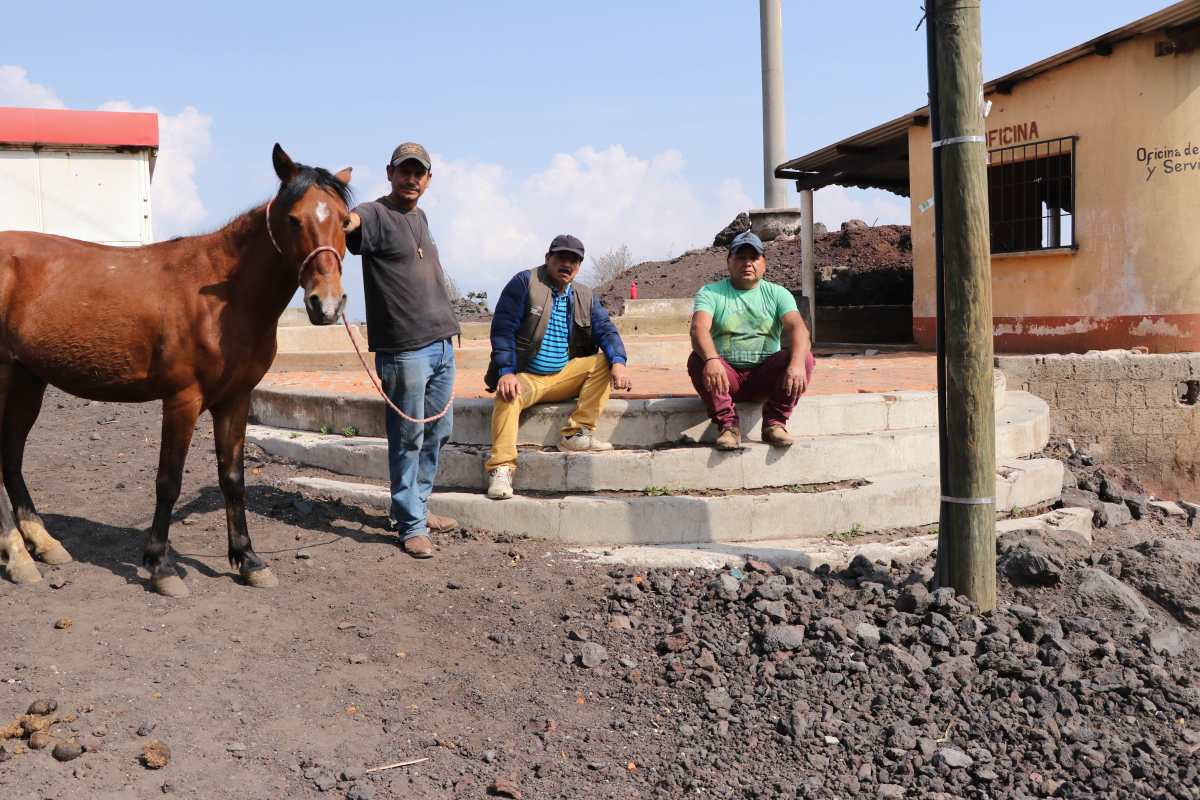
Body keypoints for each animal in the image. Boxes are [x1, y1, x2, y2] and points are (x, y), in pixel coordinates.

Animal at [0, 143, 352, 594]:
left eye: (345, 221)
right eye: (293, 219)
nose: (326, 305)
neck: (222, 298)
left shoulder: (235, 399)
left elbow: (232, 479)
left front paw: (249, 560)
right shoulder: (182, 400)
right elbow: (168, 482)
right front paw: (160, 566)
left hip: (28, 380)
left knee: (11, 455)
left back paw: (43, 543)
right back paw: (18, 556)